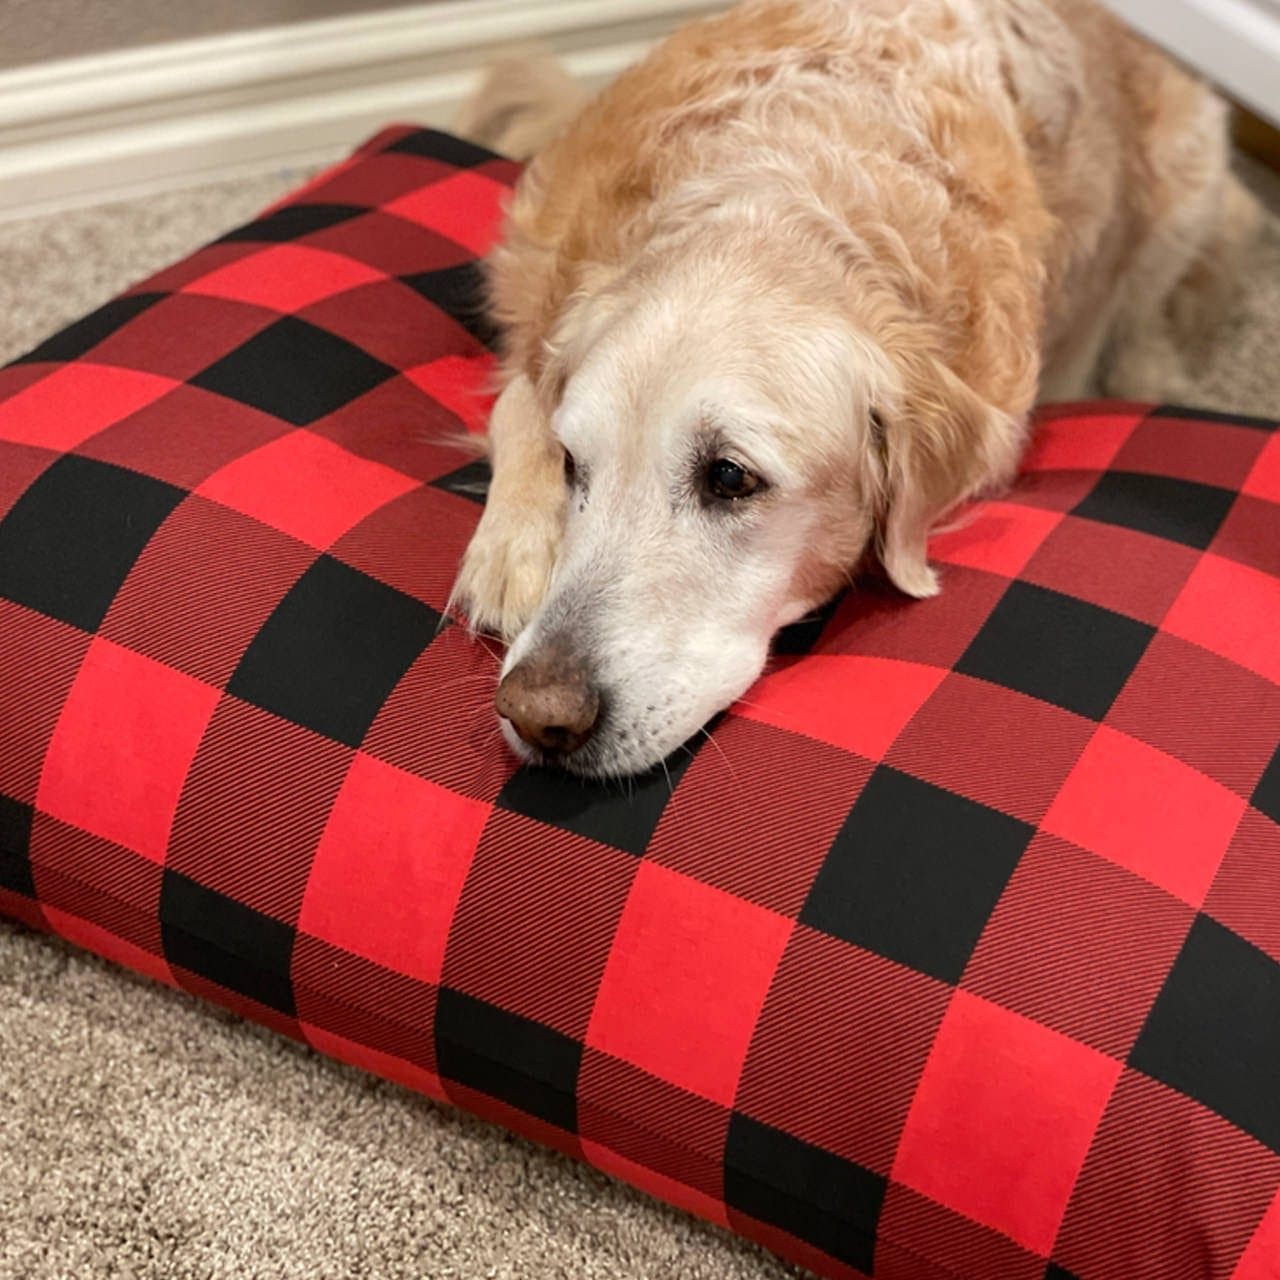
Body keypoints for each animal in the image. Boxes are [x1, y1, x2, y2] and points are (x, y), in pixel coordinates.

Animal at [450, 0, 1259, 778]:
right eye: (572, 466)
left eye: (731, 478)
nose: (535, 715)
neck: (783, 182)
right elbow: (518, 400)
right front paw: (516, 548)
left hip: (1185, 185)